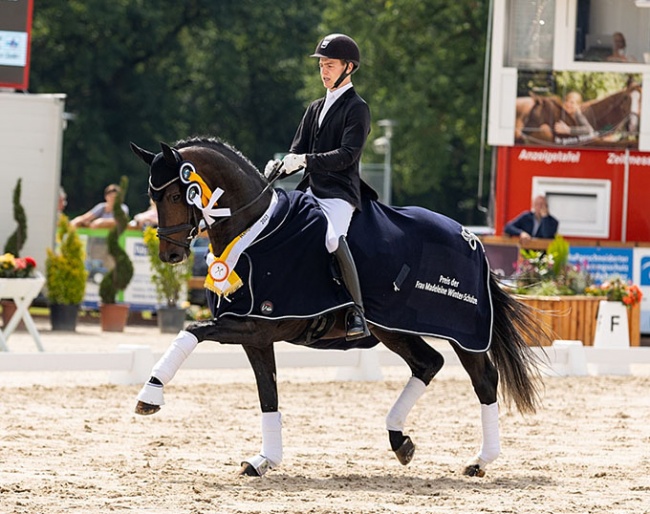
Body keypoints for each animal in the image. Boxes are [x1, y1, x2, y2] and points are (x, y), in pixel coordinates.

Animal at [129, 136, 544, 476]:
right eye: (152, 196)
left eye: (174, 195)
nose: (170, 254)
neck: (256, 232)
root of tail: (472, 238)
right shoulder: (255, 334)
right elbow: (268, 394)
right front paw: (265, 460)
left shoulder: (257, 322)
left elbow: (191, 331)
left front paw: (150, 396)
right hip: (393, 329)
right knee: (428, 363)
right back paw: (401, 441)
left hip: (462, 331)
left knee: (483, 380)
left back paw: (480, 461)